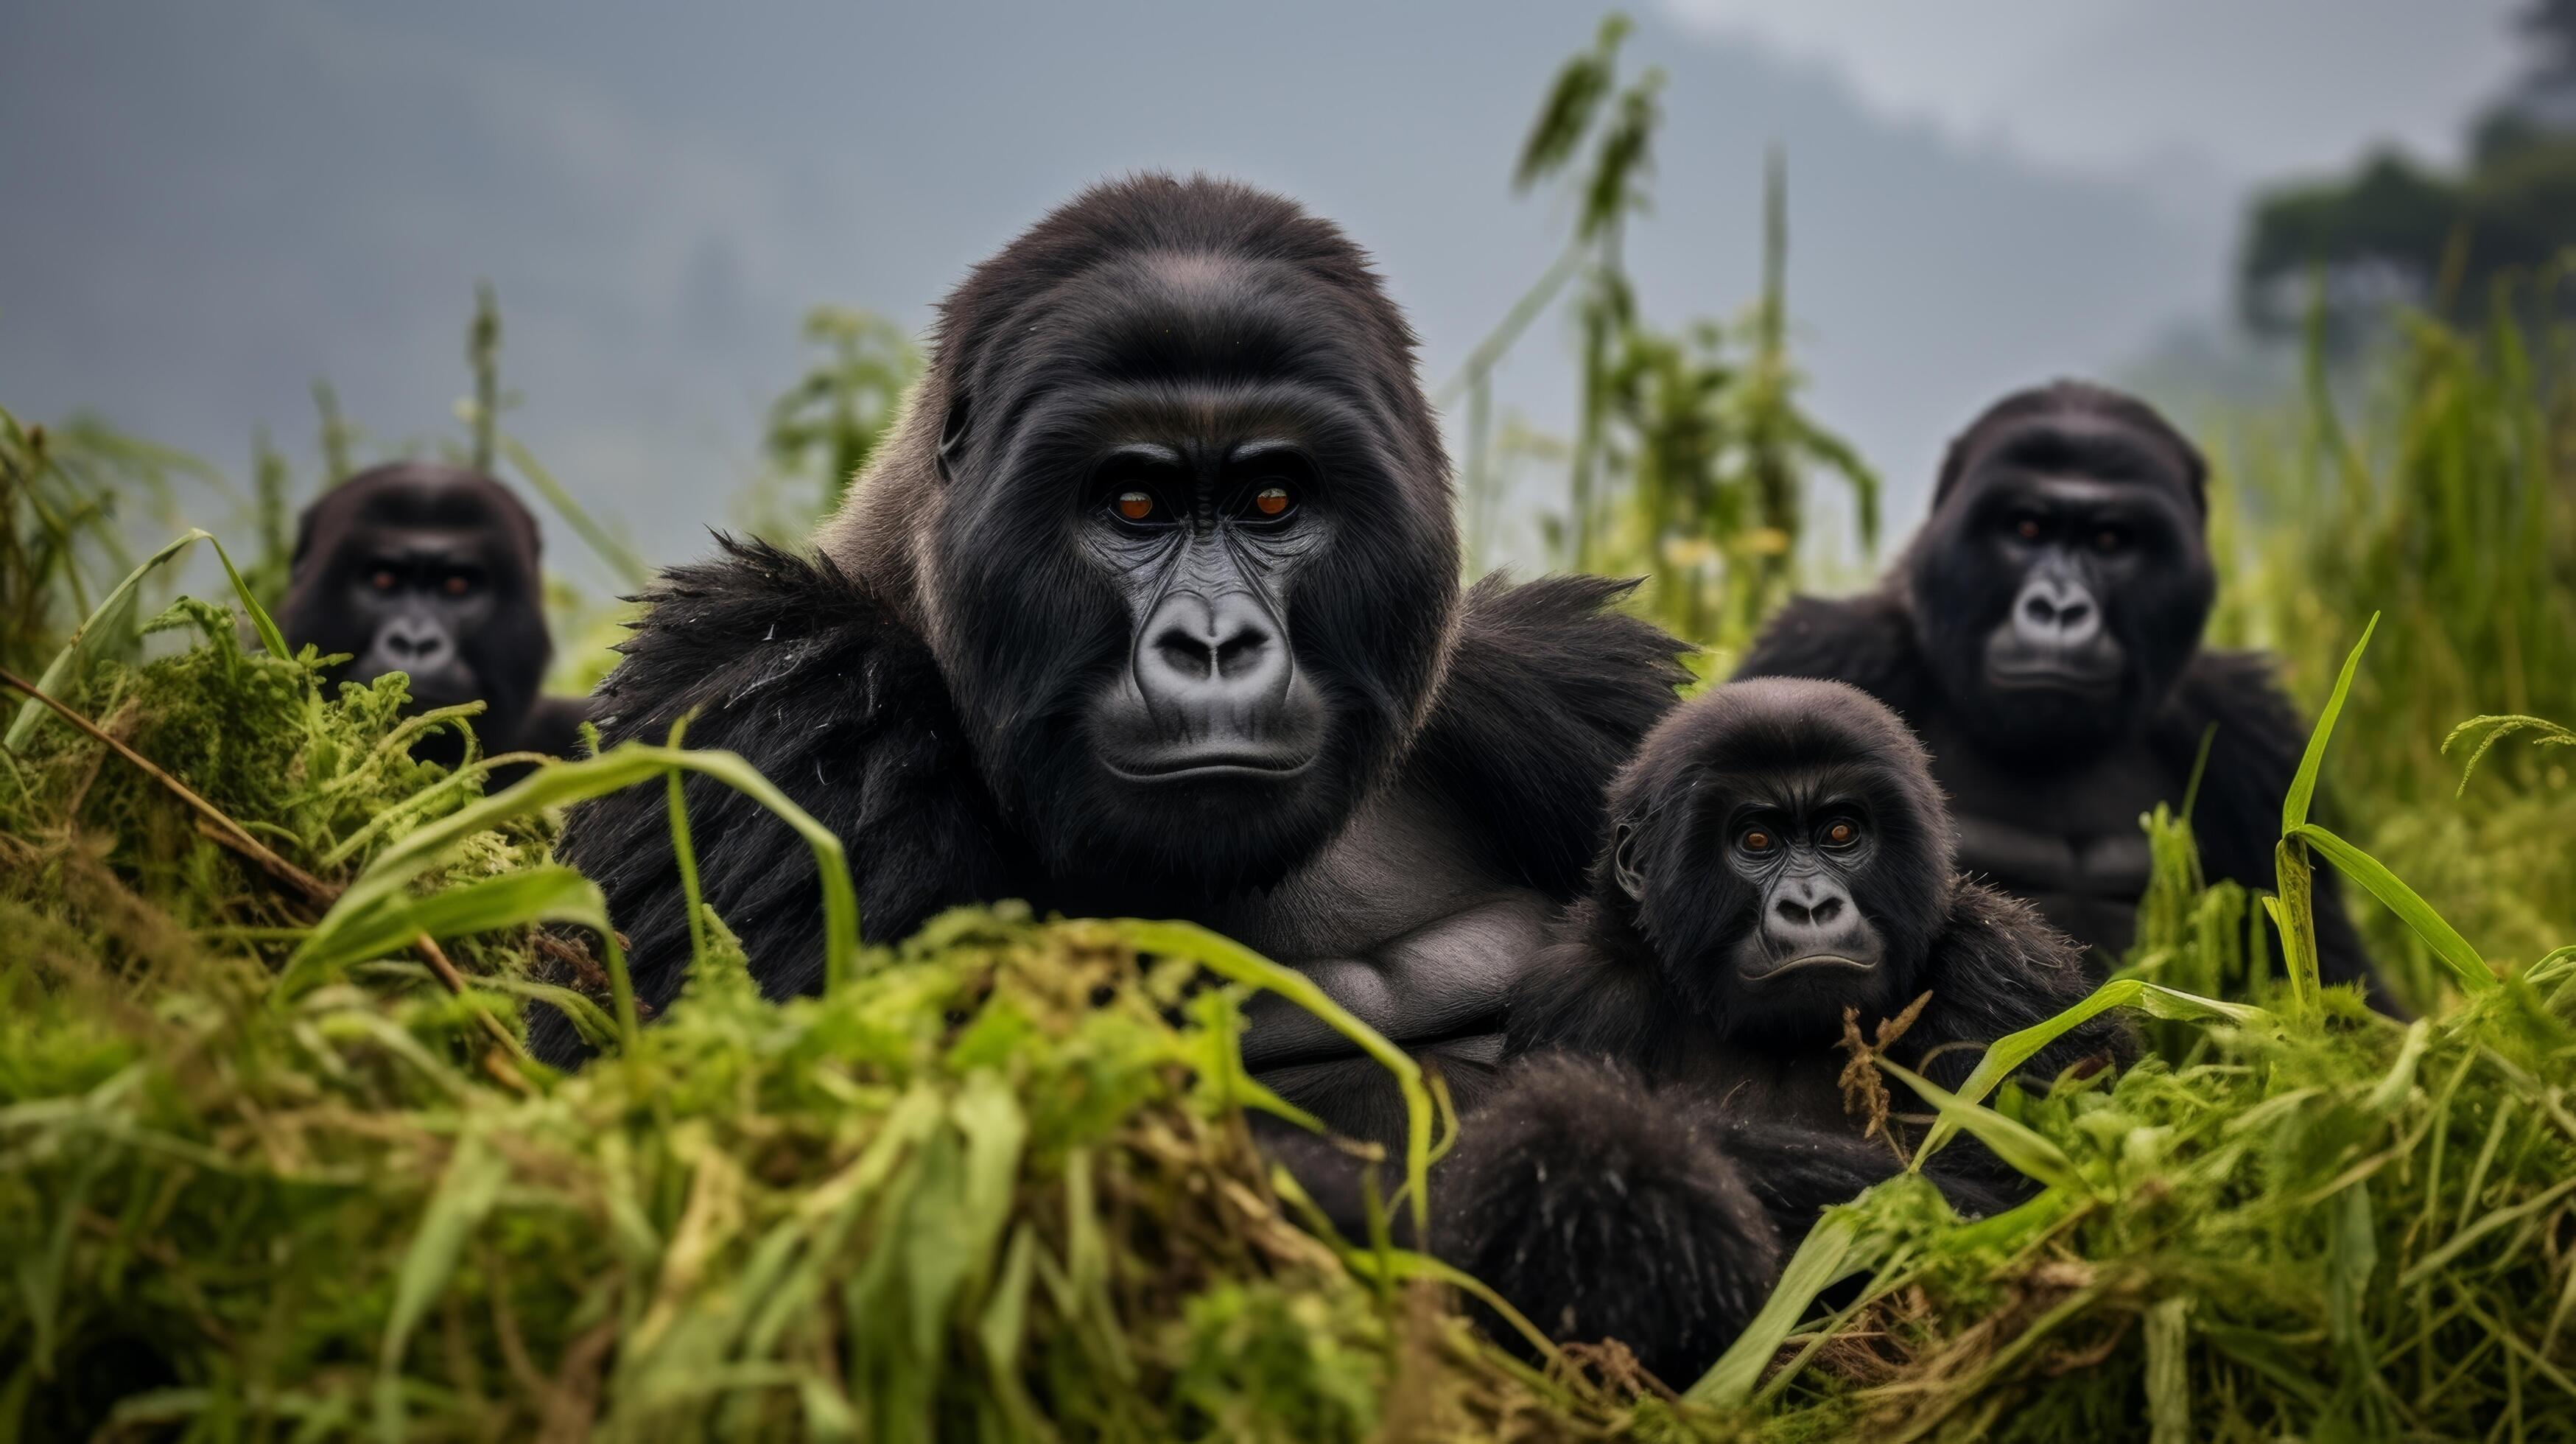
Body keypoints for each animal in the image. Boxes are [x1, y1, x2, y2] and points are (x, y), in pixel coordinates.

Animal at [1432, 681, 2133, 1382]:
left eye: (1841, 832)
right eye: (1757, 841)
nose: (1810, 906)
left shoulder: (2005, 970)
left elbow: (2026, 1198)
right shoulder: (1582, 989)